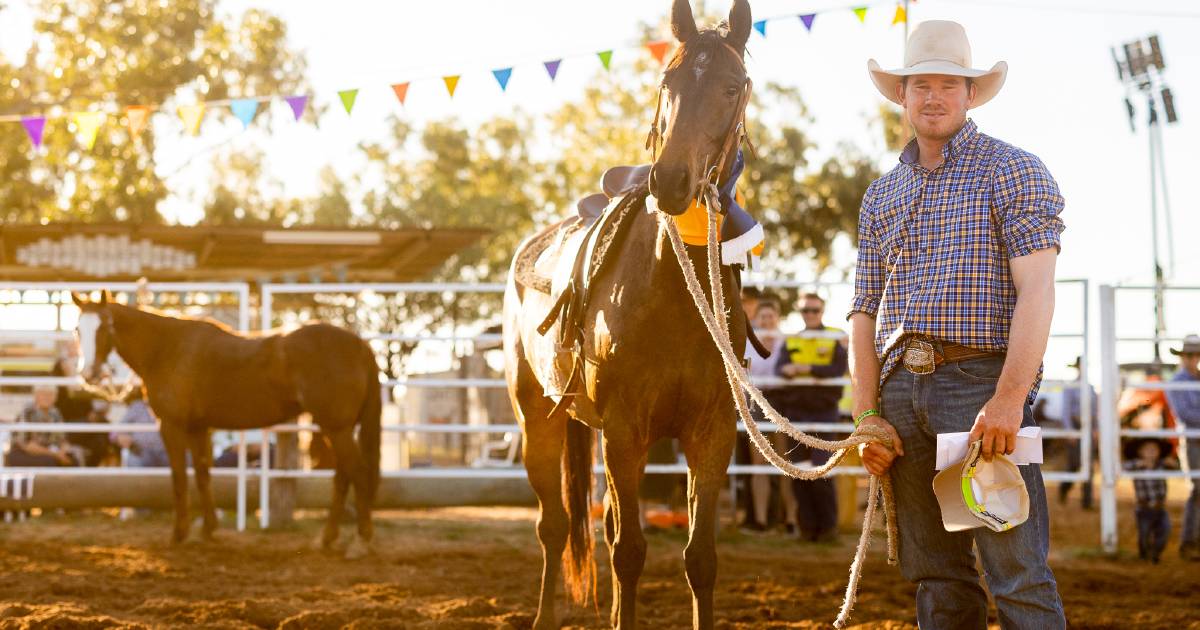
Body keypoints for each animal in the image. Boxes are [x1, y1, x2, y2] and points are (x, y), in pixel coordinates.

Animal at [72, 289, 379, 554]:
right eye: (77, 329)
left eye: (103, 327)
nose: (89, 374)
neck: (167, 349)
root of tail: (361, 346)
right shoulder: (198, 427)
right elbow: (202, 473)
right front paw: (208, 530)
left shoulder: (172, 426)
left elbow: (179, 477)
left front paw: (179, 534)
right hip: (336, 428)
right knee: (342, 477)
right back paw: (327, 538)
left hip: (336, 428)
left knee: (357, 473)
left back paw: (360, 542)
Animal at [508, 2, 758, 624]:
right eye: (668, 83)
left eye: (732, 86)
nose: (670, 181)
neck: (672, 289)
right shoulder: (624, 431)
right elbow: (628, 552)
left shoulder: (712, 433)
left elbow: (700, 558)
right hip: (538, 421)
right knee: (554, 527)